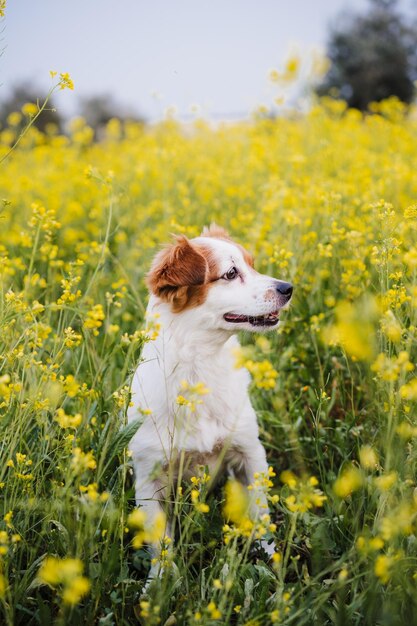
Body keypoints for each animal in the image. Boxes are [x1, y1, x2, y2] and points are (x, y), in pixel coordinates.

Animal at [127, 223, 292, 580]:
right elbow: (161, 543)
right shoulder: (148, 477)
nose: (288, 287)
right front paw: (159, 585)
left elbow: (261, 514)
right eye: (230, 273)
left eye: (252, 265)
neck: (200, 366)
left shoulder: (250, 452)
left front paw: (269, 559)